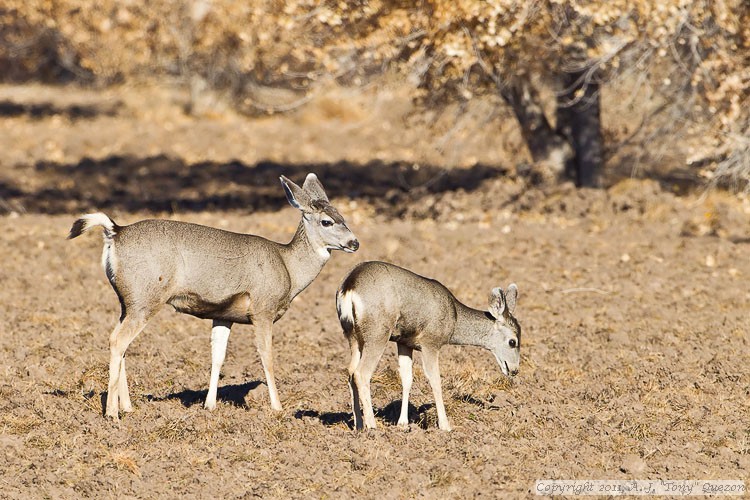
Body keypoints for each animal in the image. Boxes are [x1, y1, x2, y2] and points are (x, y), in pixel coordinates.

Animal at [69, 174, 360, 420]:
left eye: (343, 216)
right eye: (327, 221)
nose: (355, 243)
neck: (288, 267)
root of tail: (115, 232)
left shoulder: (223, 314)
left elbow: (217, 356)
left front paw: (209, 405)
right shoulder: (262, 309)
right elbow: (267, 356)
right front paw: (277, 407)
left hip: (127, 301)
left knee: (121, 344)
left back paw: (127, 407)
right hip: (145, 298)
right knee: (117, 340)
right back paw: (112, 413)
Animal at [338, 262, 520, 430]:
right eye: (513, 342)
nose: (515, 370)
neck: (453, 320)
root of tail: (349, 287)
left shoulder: (404, 342)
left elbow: (407, 378)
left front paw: (403, 423)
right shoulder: (430, 342)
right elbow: (435, 380)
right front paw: (445, 425)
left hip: (352, 335)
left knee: (351, 371)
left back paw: (358, 424)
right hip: (377, 332)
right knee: (361, 373)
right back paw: (371, 425)